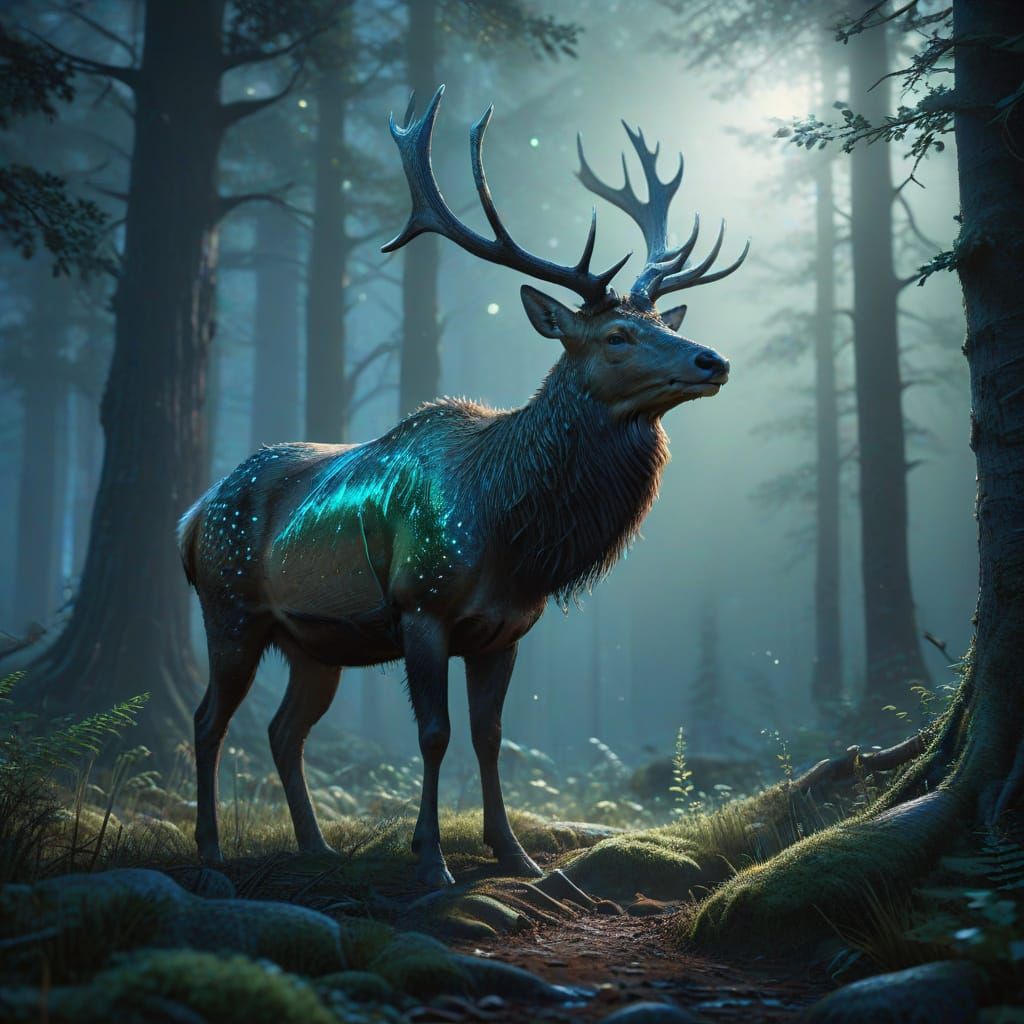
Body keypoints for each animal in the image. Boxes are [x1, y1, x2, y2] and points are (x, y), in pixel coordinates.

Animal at [178, 86, 747, 887]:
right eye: (616, 337)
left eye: (664, 321)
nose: (712, 360)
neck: (514, 536)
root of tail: (193, 515)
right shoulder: (422, 606)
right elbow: (435, 733)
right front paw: (432, 860)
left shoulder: (506, 629)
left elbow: (489, 734)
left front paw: (514, 854)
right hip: (230, 609)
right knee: (208, 721)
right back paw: (212, 855)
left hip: (313, 641)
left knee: (285, 729)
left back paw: (317, 847)